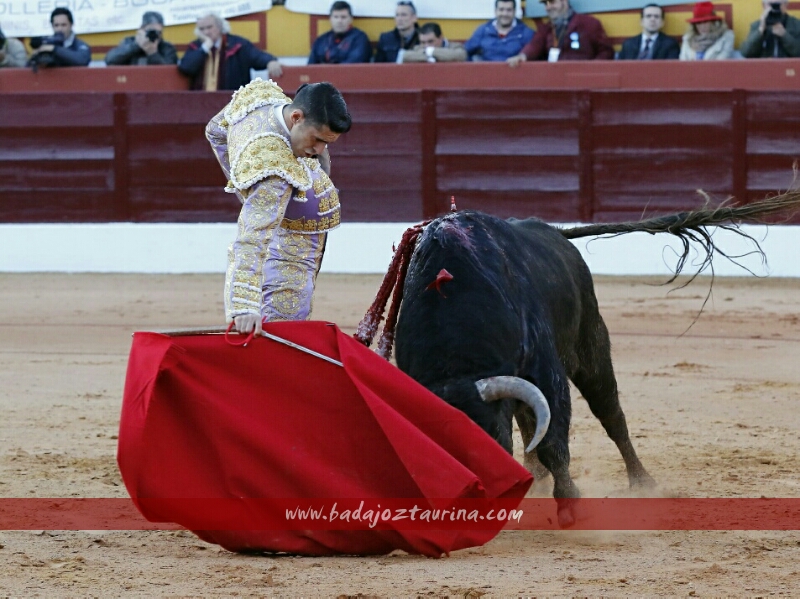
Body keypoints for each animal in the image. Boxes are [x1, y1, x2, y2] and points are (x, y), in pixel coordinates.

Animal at [355, 192, 800, 527]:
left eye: (492, 438)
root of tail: (555, 233)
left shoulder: (546, 369)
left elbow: (554, 439)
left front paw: (571, 506)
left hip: (592, 348)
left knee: (611, 416)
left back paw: (641, 482)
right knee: (531, 419)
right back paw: (535, 478)